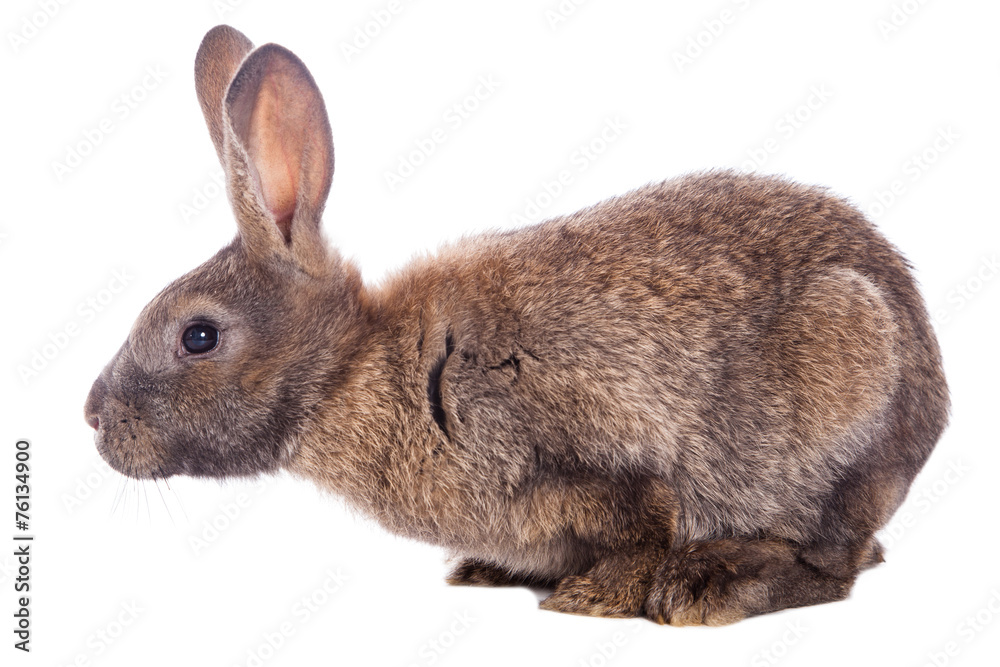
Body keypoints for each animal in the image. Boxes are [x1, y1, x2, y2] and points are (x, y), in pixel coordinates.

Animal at [84, 24, 949, 626]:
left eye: (198, 335)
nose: (93, 416)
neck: (351, 368)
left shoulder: (584, 452)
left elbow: (647, 521)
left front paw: (592, 598)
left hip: (840, 408)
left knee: (832, 563)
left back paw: (712, 584)